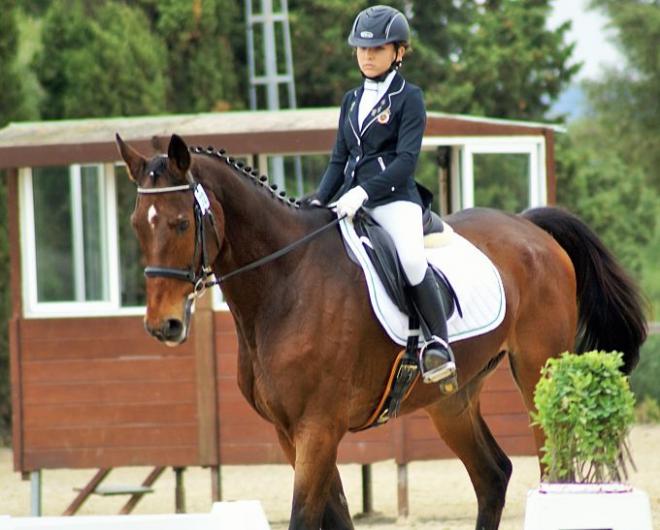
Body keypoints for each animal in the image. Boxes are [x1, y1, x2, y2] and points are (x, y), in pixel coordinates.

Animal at [116, 133, 648, 528]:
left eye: (181, 224)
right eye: (138, 225)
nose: (163, 325)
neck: (286, 282)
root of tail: (529, 227)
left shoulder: (318, 428)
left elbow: (306, 517)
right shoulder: (291, 433)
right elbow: (337, 517)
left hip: (540, 374)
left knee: (554, 469)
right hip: (452, 401)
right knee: (493, 475)